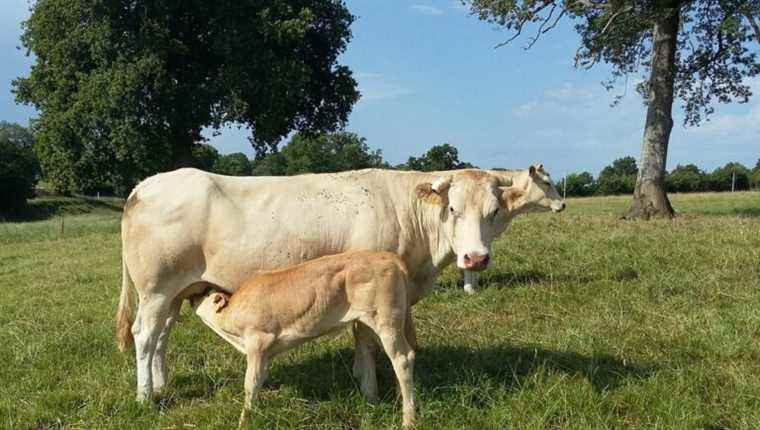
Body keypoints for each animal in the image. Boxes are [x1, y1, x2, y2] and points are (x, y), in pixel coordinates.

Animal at [117, 165, 564, 404]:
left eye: (493, 211)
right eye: (453, 209)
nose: (475, 258)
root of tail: (146, 184)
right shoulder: (369, 294)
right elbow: (365, 341)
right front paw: (370, 391)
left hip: (177, 291)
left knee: (161, 336)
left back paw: (160, 385)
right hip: (156, 288)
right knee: (144, 335)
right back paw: (144, 397)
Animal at [190, 250, 416, 428]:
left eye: (206, 293)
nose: (194, 293)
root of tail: (390, 257)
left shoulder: (258, 341)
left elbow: (250, 384)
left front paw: (244, 421)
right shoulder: (267, 352)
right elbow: (260, 379)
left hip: (387, 321)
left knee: (402, 359)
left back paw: (408, 419)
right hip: (373, 321)